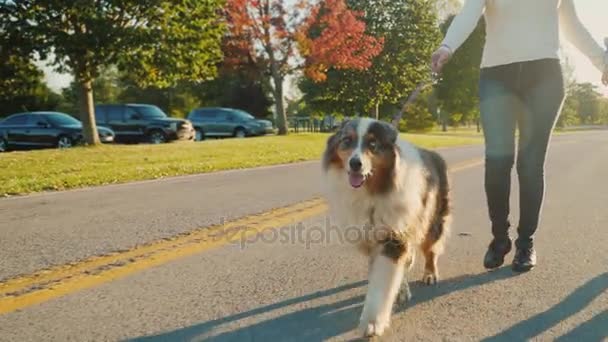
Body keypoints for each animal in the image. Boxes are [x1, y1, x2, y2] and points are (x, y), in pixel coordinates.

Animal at [324, 117, 452, 336]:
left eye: (373, 144)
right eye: (347, 140)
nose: (355, 164)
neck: (374, 190)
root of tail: (434, 154)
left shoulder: (393, 237)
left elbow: (382, 282)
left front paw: (372, 322)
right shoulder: (373, 239)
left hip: (432, 219)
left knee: (431, 249)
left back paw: (430, 274)